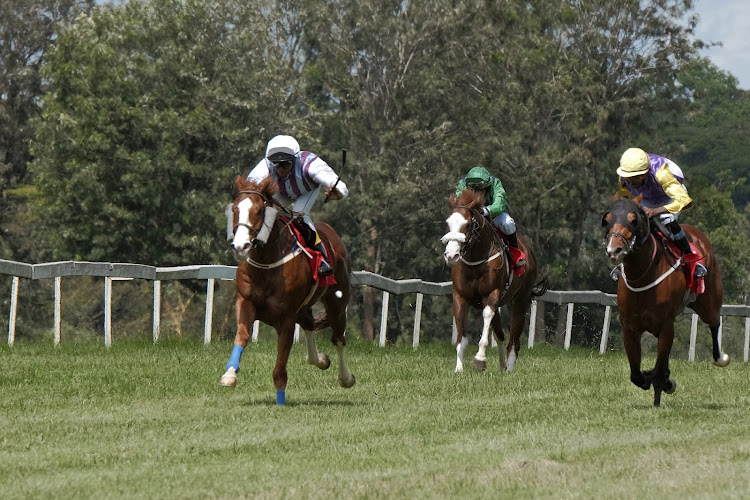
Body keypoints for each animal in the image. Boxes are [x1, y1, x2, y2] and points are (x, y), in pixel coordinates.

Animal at [220, 175, 356, 402]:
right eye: (235, 208)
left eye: (259, 210)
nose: (240, 246)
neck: (267, 262)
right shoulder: (246, 302)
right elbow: (242, 336)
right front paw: (229, 375)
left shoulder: (287, 316)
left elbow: (281, 362)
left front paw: (280, 398)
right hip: (305, 307)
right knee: (310, 325)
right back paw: (320, 360)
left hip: (337, 302)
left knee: (338, 339)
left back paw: (346, 378)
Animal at [444, 189, 548, 374]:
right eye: (448, 223)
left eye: (468, 225)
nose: (451, 255)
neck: (476, 261)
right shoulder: (460, 296)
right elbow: (462, 334)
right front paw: (458, 368)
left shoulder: (492, 295)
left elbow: (487, 317)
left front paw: (479, 359)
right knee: (500, 334)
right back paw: (502, 365)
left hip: (521, 300)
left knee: (514, 339)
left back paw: (510, 368)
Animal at [604, 195, 728, 406]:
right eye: (607, 219)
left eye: (633, 219)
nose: (614, 250)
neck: (643, 274)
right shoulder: (630, 328)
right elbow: (636, 375)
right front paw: (652, 378)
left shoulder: (666, 326)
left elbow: (660, 370)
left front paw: (662, 388)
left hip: (708, 303)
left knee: (714, 323)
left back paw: (719, 358)